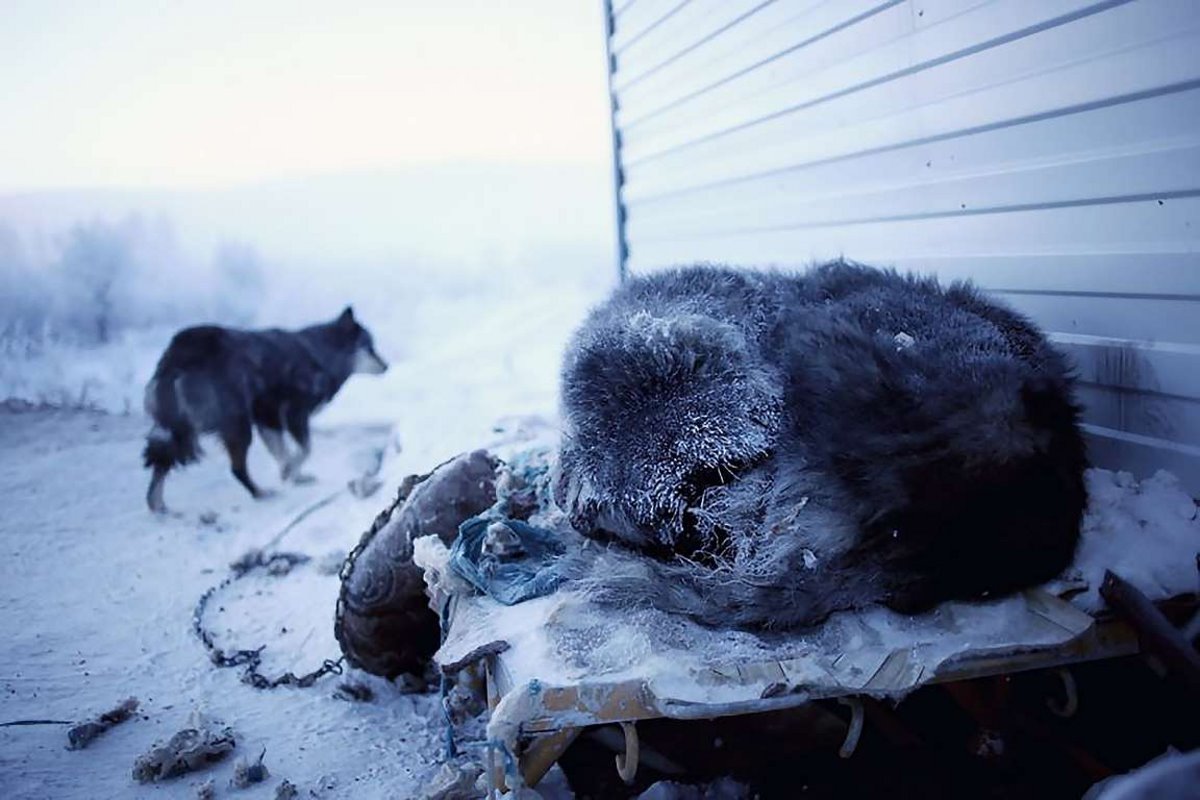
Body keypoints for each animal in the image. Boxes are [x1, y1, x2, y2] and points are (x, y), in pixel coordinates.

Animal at [142, 307, 388, 513]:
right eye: (370, 347)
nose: (386, 366)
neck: (321, 352)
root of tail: (177, 358)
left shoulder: (267, 417)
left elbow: (282, 451)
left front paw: (292, 474)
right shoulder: (293, 413)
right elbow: (305, 449)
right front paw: (290, 470)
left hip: (177, 429)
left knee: (161, 462)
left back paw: (157, 504)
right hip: (237, 425)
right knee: (237, 468)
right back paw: (259, 492)